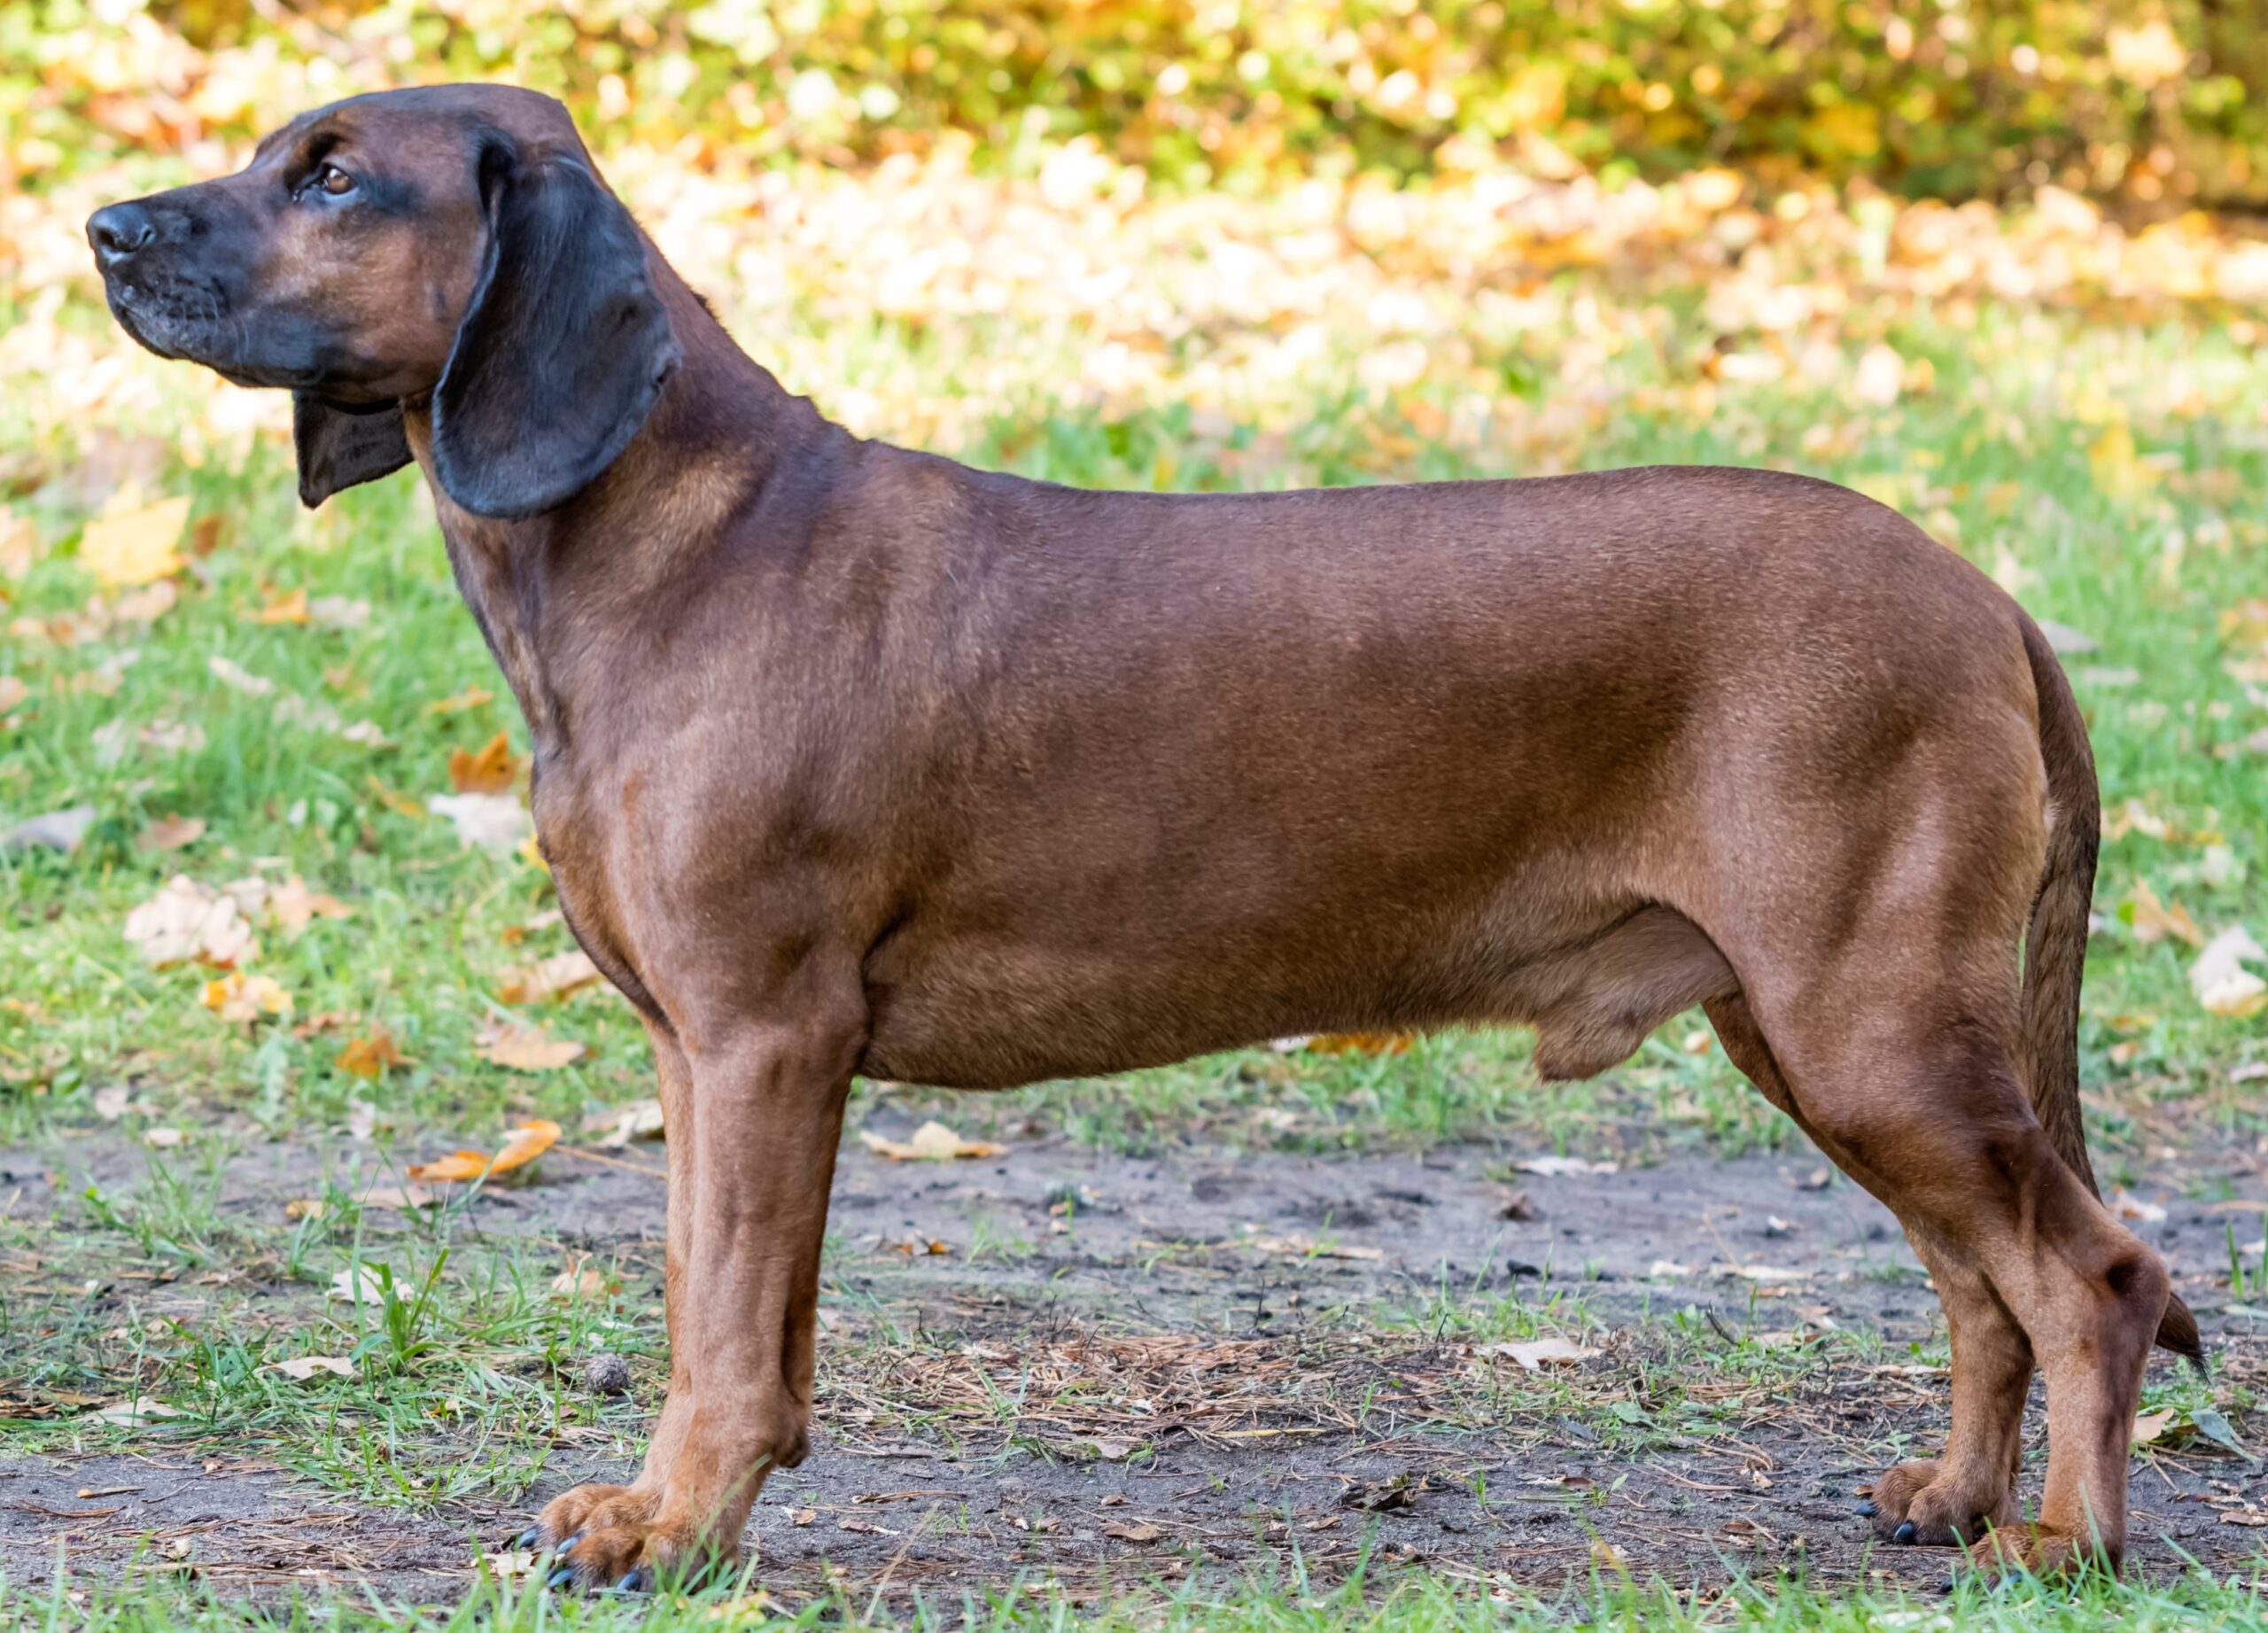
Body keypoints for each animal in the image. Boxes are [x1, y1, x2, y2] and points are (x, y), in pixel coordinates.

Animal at [92, 86, 2195, 1578]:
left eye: (336, 177)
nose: (102, 228)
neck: (667, 546)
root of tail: (1986, 596)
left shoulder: (767, 1035)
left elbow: (721, 1330)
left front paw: (673, 1530)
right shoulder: (707, 1055)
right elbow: (725, 1314)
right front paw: (684, 1504)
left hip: (1866, 1024)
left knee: (2091, 1275)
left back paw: (2061, 1542)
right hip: (1815, 1030)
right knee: (1983, 1282)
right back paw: (1948, 1497)